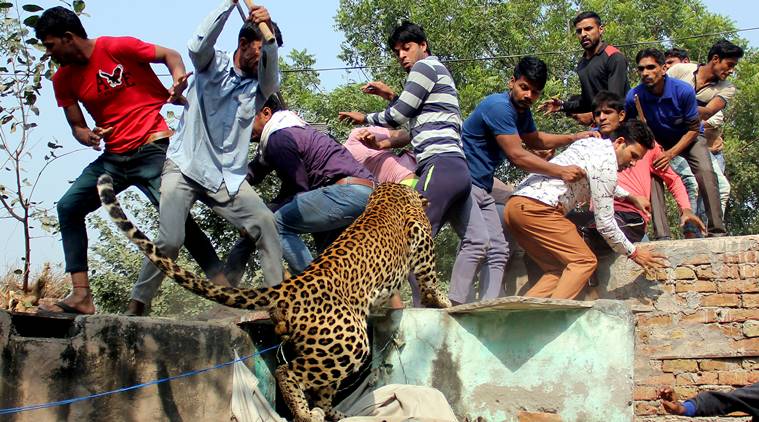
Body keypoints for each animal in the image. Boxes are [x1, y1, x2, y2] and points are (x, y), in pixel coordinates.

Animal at [95, 175, 452, 422]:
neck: (390, 190)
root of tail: (291, 286)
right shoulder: (422, 243)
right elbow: (430, 278)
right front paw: (443, 302)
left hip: (326, 346)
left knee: (321, 386)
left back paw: (333, 413)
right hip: (350, 342)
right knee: (288, 373)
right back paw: (306, 415)